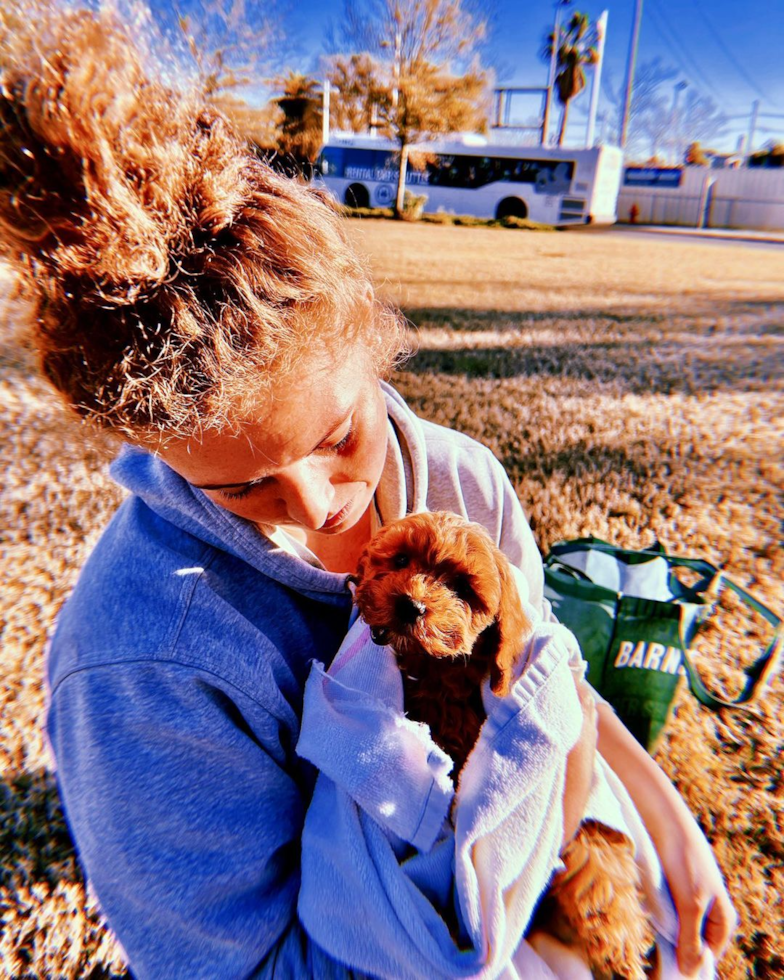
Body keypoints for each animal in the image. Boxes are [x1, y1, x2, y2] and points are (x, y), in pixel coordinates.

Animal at [352, 512, 652, 980]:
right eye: (400, 559)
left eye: (462, 588)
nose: (410, 606)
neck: (437, 672)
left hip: (593, 851)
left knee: (607, 899)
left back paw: (622, 960)